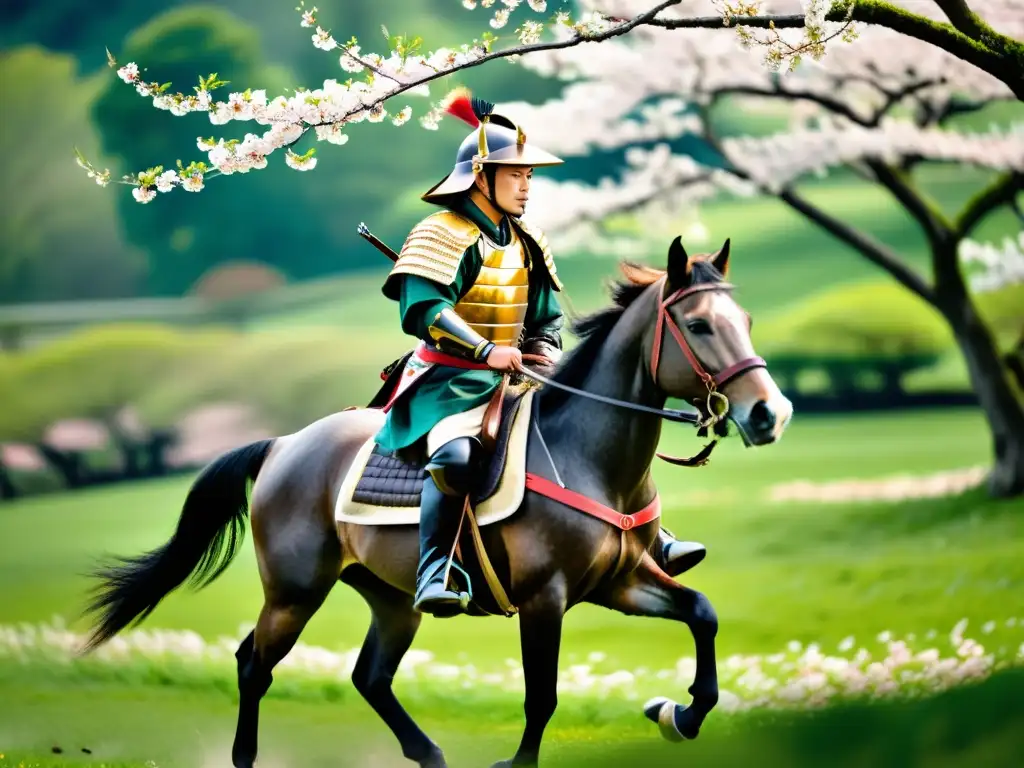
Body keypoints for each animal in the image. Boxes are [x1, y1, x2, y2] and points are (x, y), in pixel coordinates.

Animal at [83, 237, 794, 765]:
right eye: (698, 325)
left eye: (745, 322)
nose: (770, 414)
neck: (592, 456)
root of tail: (284, 444)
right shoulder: (546, 599)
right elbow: (542, 695)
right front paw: (520, 762)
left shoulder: (619, 582)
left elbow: (701, 613)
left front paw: (681, 713)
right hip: (295, 591)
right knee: (255, 665)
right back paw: (246, 758)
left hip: (392, 599)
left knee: (368, 676)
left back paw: (429, 755)